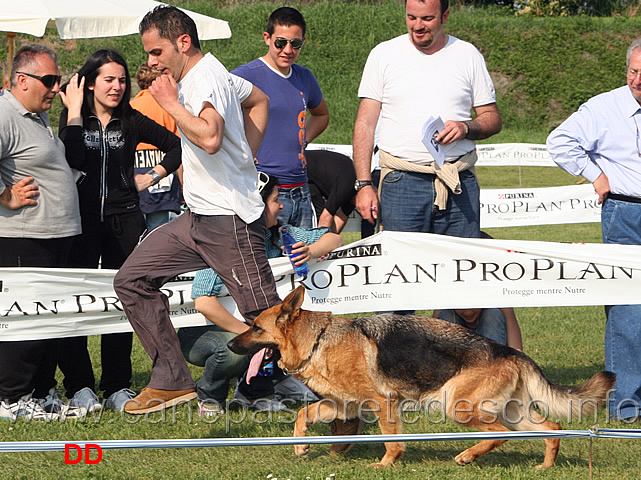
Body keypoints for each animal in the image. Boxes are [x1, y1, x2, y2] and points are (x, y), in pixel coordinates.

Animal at [229, 286, 616, 466]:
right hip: (511, 413)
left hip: (460, 408)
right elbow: (302, 414)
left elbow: (391, 441)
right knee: (551, 429)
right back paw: (544, 466)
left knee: (502, 435)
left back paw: (468, 456)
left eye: (255, 327)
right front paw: (301, 445)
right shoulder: (343, 406)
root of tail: (510, 351)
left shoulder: (382, 403)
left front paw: (385, 464)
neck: (318, 340)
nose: (231, 343)